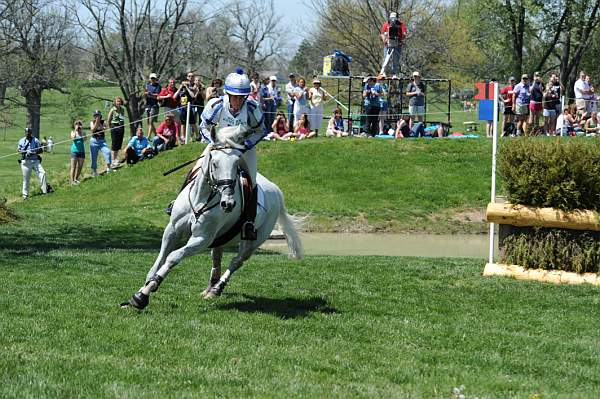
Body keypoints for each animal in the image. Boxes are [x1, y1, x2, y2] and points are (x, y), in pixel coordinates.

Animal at [125, 130, 308, 310]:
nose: (228, 203)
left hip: (253, 241)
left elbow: (173, 257)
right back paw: (210, 288)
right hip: (220, 236)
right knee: (217, 257)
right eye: (214, 163)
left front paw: (143, 295)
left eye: (236, 164)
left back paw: (217, 288)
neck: (201, 198)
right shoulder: (172, 230)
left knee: (237, 261)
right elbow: (160, 259)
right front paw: (144, 286)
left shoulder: (201, 239)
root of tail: (276, 190)